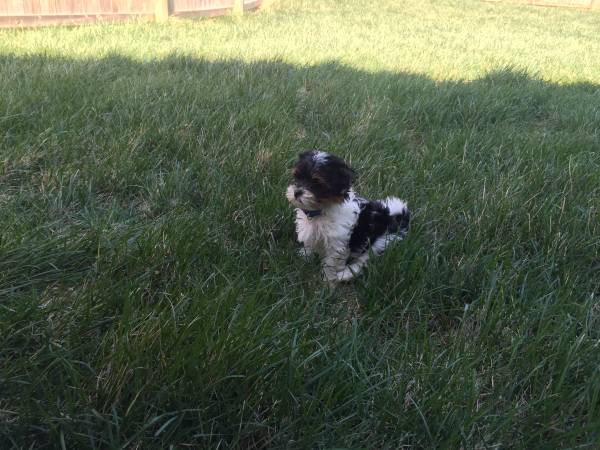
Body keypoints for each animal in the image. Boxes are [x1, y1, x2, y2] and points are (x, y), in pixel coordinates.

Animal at [284, 153, 408, 284]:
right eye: (297, 177)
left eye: (317, 183)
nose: (297, 192)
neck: (320, 211)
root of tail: (391, 218)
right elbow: (309, 245)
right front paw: (305, 257)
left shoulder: (337, 244)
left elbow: (331, 264)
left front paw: (328, 281)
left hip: (382, 242)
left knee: (363, 261)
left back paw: (344, 275)